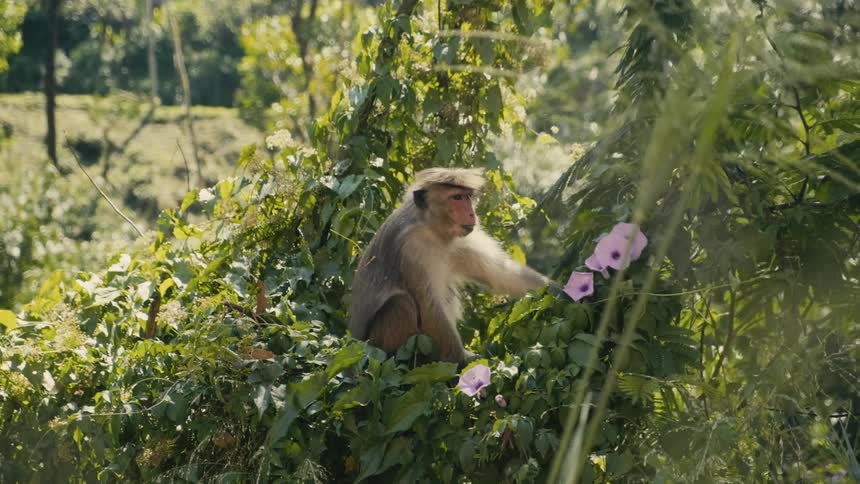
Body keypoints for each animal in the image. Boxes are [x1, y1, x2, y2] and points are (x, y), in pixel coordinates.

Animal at [349, 167, 554, 364]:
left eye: (468, 196)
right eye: (457, 197)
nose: (472, 213)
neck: (432, 229)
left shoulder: (461, 240)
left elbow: (501, 274)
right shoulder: (410, 246)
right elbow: (430, 309)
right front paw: (462, 363)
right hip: (375, 345)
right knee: (401, 303)